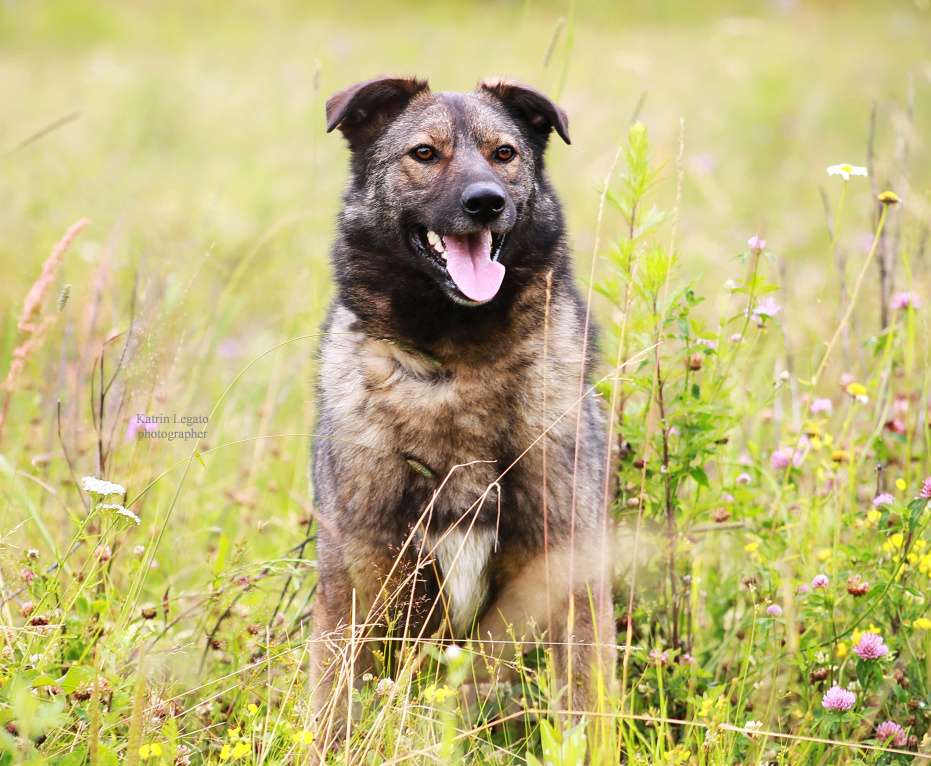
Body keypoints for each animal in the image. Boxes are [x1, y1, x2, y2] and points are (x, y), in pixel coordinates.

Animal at [314, 75, 616, 748]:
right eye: (425, 154)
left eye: (504, 153)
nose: (486, 203)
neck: (457, 366)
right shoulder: (357, 582)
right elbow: (334, 712)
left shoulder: (567, 576)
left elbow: (583, 706)